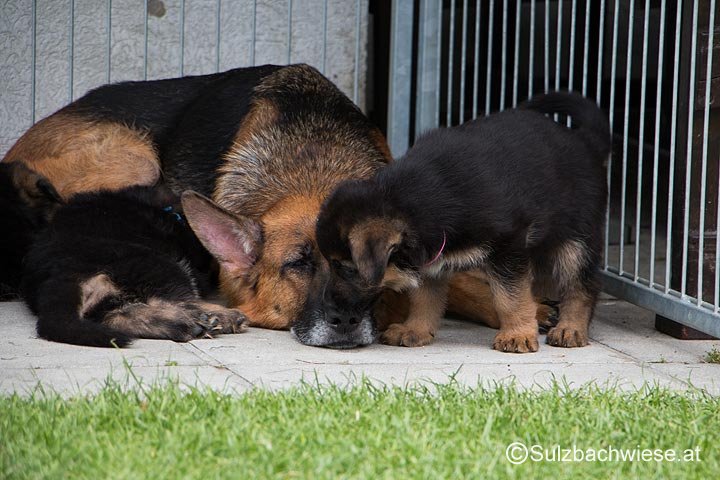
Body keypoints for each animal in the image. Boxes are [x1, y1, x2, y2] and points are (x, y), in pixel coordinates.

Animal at [19, 184, 247, 347]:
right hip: (155, 262)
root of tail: (61, 271)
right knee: (181, 298)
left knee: (117, 316)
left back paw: (183, 325)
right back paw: (221, 316)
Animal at [315, 92, 610, 352]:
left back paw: (570, 328)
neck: (416, 200)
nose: (333, 313)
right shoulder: (432, 259)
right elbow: (424, 298)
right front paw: (415, 330)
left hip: (577, 239)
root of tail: (585, 141)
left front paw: (517, 335)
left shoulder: (508, 246)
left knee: (582, 285)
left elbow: (510, 297)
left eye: (347, 268)